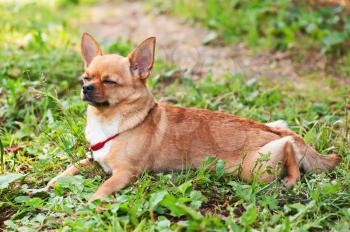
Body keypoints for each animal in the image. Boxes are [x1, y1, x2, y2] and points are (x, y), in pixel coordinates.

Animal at [45, 32, 340, 201]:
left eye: (109, 82)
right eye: (85, 78)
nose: (85, 88)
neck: (111, 121)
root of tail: (279, 133)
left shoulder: (123, 174)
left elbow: (103, 189)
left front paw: (91, 202)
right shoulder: (95, 160)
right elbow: (73, 167)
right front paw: (53, 182)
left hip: (256, 169)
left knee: (289, 152)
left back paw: (291, 178)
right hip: (275, 130)